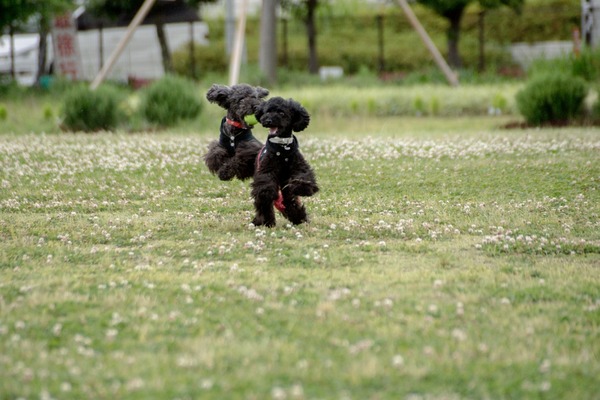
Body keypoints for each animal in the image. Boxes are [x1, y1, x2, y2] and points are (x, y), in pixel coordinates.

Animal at [251, 97, 318, 227]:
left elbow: (303, 176)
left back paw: (298, 217)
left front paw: (303, 189)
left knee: (289, 200)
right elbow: (265, 186)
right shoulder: (266, 168)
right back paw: (265, 221)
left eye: (281, 113)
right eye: (267, 112)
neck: (283, 147)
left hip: (286, 185)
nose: (268, 120)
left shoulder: (298, 166)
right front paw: (267, 192)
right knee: (263, 204)